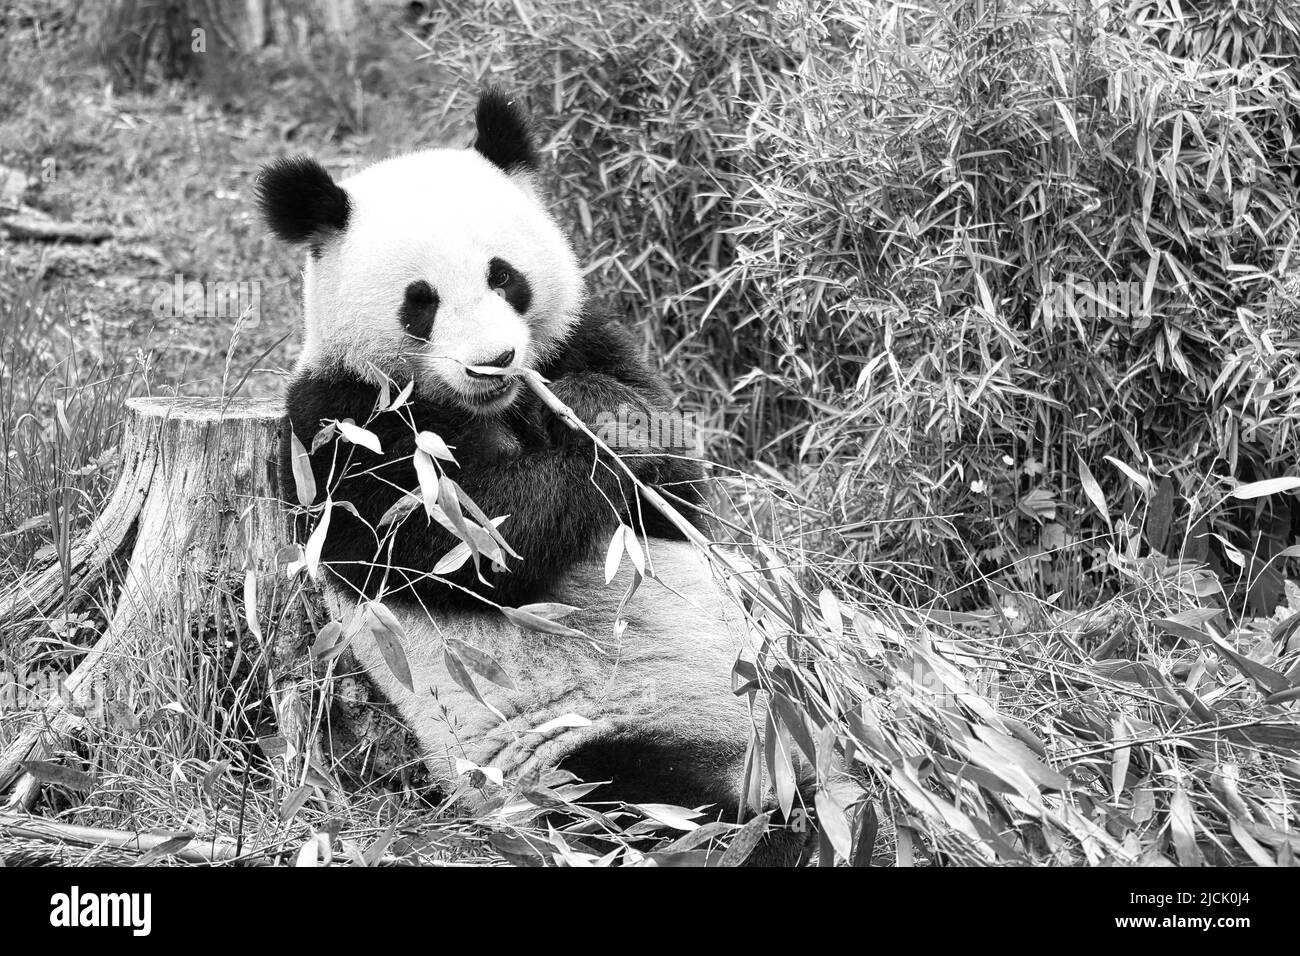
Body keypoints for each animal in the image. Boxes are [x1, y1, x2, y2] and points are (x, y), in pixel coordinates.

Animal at [257, 91, 806, 868]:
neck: (489, 408)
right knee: (658, 803)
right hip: (582, 750)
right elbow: (466, 544)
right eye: (420, 300)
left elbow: (676, 501)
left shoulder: (582, 338)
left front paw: (606, 413)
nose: (494, 361)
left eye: (503, 275)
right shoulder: (338, 428)